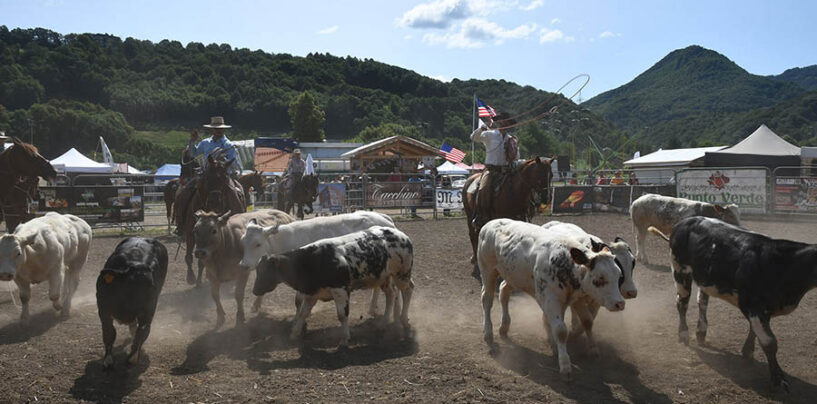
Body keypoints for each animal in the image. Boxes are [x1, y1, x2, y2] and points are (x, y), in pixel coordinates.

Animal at [95, 237, 167, 370]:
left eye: (151, 286)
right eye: (133, 285)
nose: (148, 300)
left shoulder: (147, 312)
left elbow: (142, 331)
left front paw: (133, 357)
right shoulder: (103, 310)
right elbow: (109, 332)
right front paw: (108, 359)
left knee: (140, 329)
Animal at [239, 210, 396, 318]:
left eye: (258, 244)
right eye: (243, 242)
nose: (244, 265)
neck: (282, 242)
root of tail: (384, 218)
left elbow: (298, 301)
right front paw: (255, 305)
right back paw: (372, 308)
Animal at [252, 226, 414, 348]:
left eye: (265, 271)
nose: (254, 290)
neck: (312, 260)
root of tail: (402, 235)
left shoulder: (340, 291)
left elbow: (342, 315)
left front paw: (344, 339)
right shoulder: (311, 294)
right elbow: (303, 313)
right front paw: (294, 334)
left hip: (402, 274)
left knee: (408, 290)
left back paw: (404, 320)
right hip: (384, 278)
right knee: (391, 294)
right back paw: (384, 322)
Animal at [474, 218, 620, 376]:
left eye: (619, 275)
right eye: (600, 278)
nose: (620, 303)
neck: (565, 263)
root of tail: (489, 224)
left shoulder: (576, 299)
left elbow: (587, 321)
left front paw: (593, 349)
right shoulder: (551, 299)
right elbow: (561, 330)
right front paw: (565, 364)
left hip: (512, 276)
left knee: (504, 291)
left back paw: (504, 327)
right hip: (488, 270)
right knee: (487, 299)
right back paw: (488, 333)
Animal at [652, 218, 816, 392]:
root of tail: (684, 222)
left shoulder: (763, 310)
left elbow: (755, 332)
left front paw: (747, 352)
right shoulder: (753, 306)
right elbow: (769, 342)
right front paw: (778, 379)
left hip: (704, 279)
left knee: (702, 302)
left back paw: (701, 332)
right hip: (680, 272)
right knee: (682, 304)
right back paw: (684, 334)